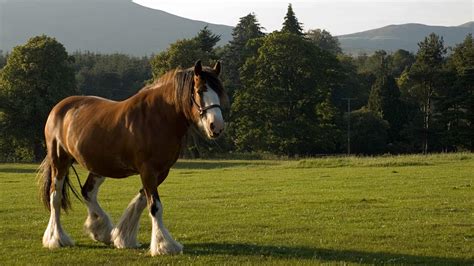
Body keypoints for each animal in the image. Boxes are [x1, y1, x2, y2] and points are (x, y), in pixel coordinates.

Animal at [36, 60, 228, 256]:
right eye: (200, 90)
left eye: (219, 91)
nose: (216, 126)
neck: (158, 117)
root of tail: (59, 107)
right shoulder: (148, 170)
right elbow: (155, 207)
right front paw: (164, 245)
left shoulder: (160, 172)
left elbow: (143, 200)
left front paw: (124, 236)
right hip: (60, 162)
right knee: (55, 196)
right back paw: (57, 238)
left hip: (98, 166)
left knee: (87, 192)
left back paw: (102, 230)